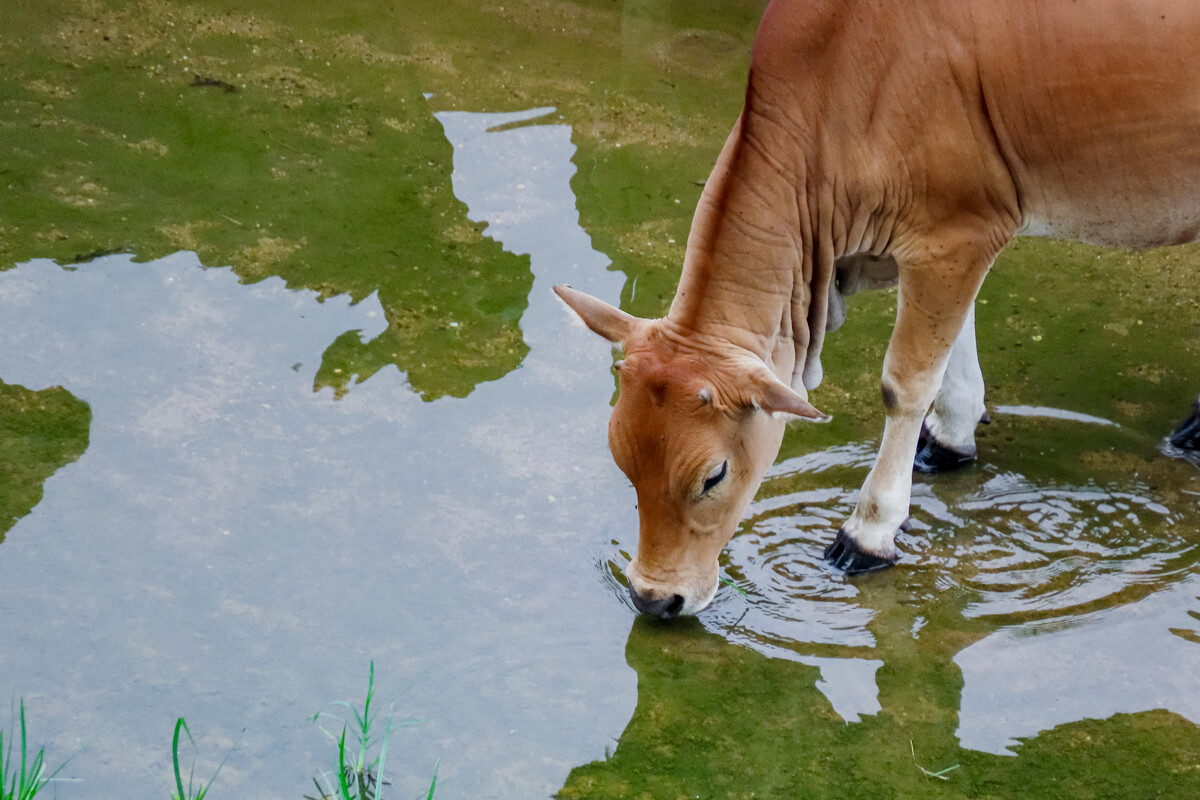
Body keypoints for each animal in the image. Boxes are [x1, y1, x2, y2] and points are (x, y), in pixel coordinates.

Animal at [559, 0, 1200, 618]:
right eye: (621, 459)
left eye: (712, 475)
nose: (653, 597)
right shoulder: (948, 244)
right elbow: (951, 356)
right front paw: (952, 436)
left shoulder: (954, 236)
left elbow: (906, 385)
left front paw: (867, 533)